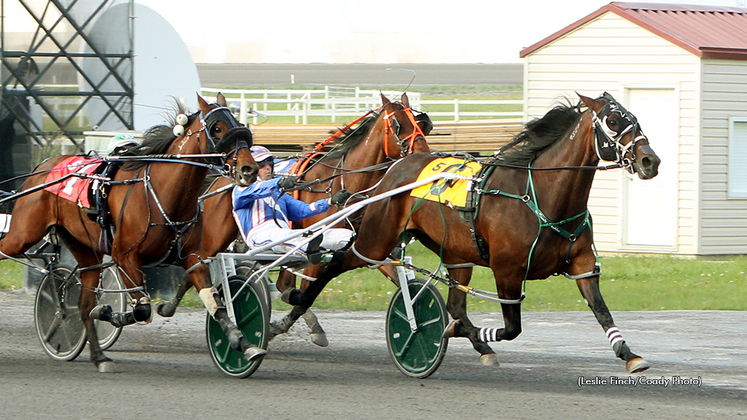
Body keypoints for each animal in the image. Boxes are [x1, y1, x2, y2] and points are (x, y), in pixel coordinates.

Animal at [0, 93, 262, 372]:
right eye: (217, 128)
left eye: (239, 124)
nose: (249, 169)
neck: (163, 191)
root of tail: (42, 167)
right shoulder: (125, 258)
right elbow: (141, 310)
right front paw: (107, 313)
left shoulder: (193, 257)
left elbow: (215, 302)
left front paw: (243, 343)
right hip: (22, 234)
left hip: (86, 250)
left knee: (83, 302)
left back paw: (99, 356)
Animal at [158, 92, 432, 344]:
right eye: (397, 124)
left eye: (422, 123)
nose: (424, 152)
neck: (343, 180)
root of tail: (222, 176)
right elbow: (306, 291)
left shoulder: (364, 244)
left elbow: (393, 275)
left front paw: (417, 318)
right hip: (218, 234)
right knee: (198, 263)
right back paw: (170, 305)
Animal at [280, 91, 660, 370]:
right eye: (613, 121)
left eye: (634, 119)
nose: (650, 161)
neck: (543, 196)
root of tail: (398, 166)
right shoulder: (508, 270)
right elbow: (511, 328)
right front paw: (456, 331)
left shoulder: (582, 265)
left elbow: (601, 310)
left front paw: (630, 355)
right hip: (377, 240)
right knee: (332, 264)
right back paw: (290, 313)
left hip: (454, 252)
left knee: (455, 302)